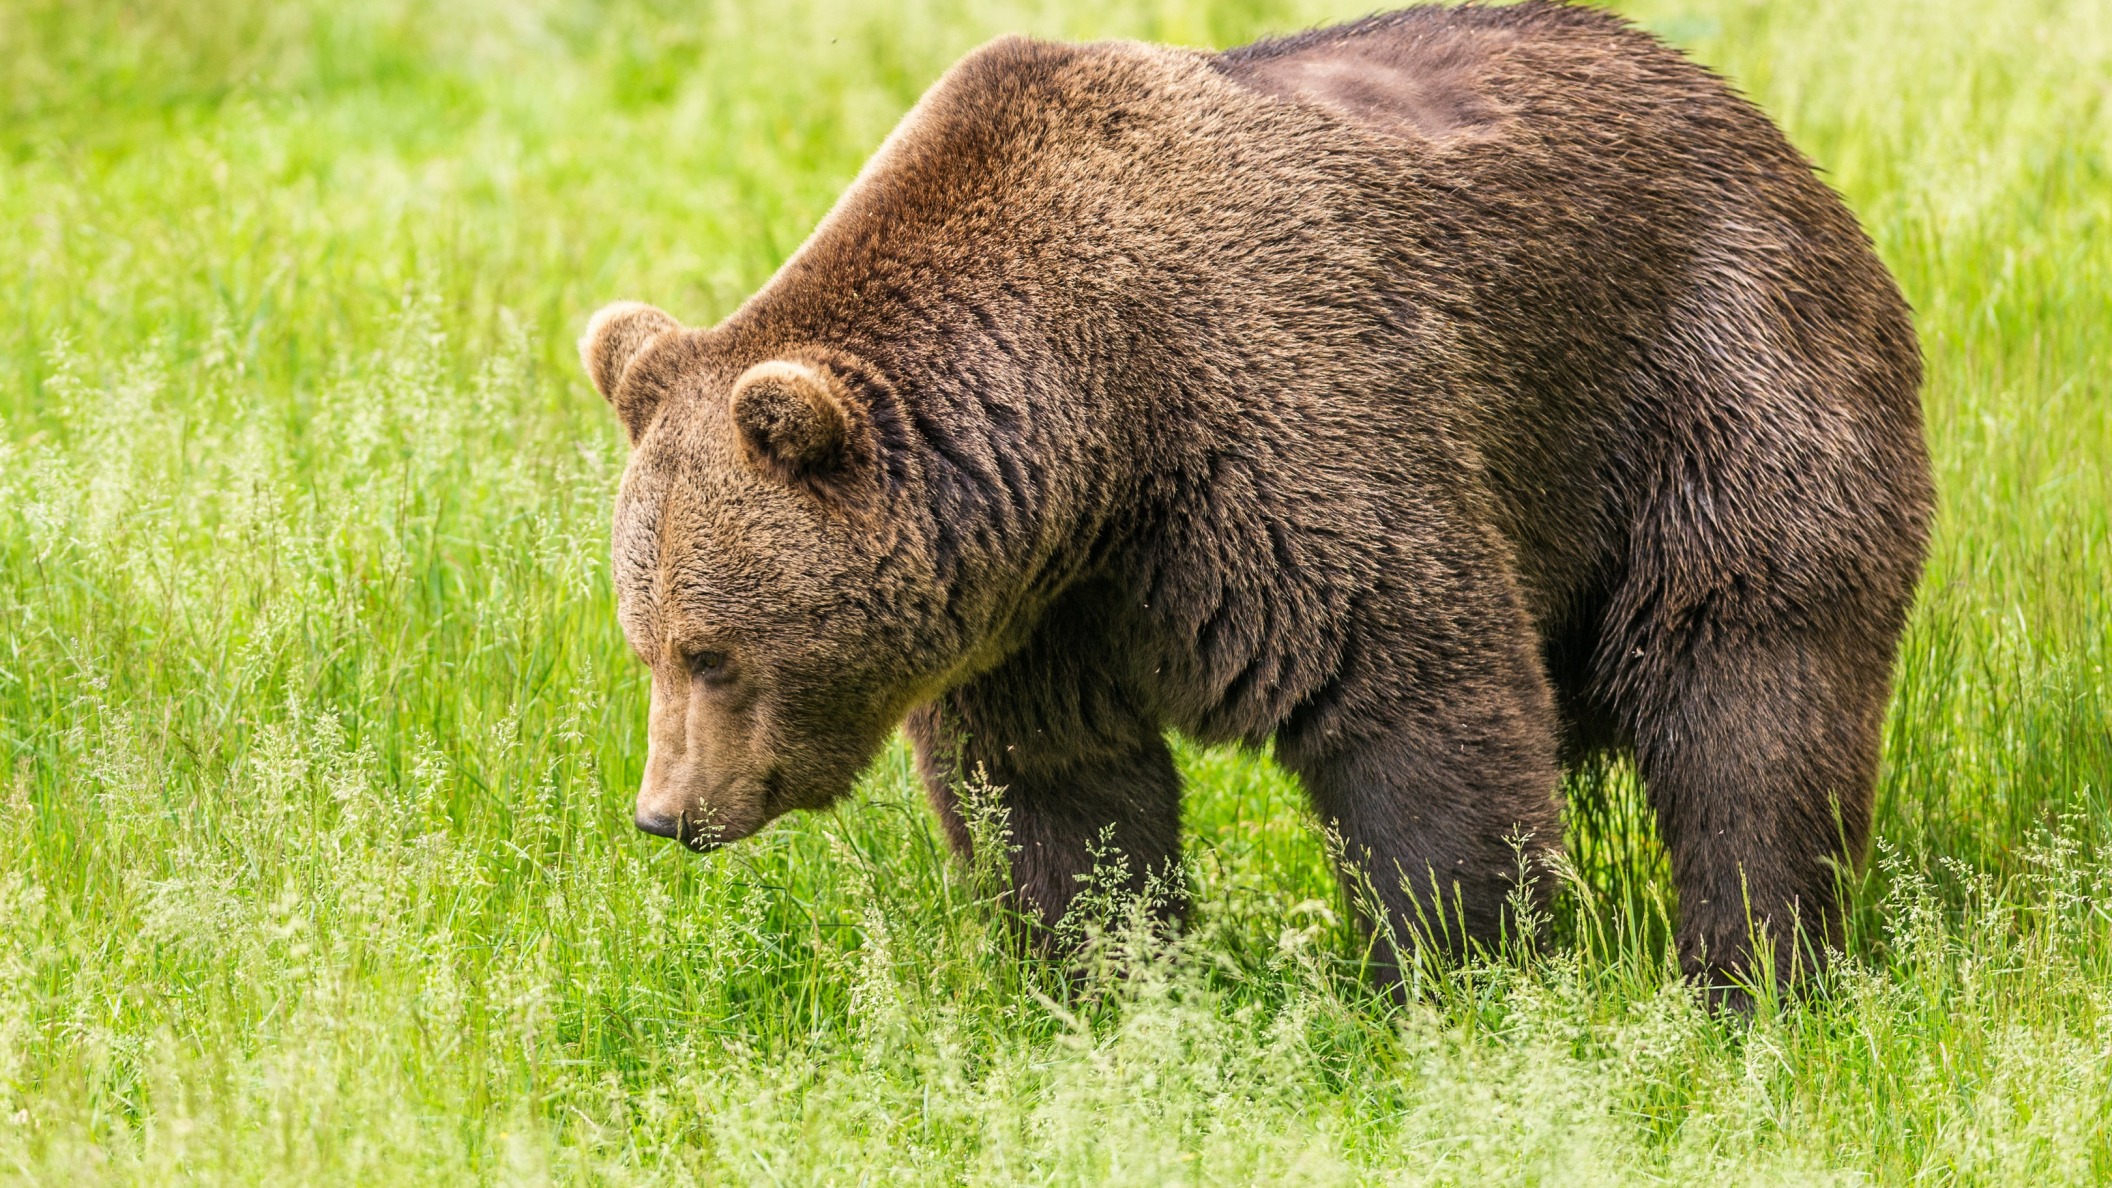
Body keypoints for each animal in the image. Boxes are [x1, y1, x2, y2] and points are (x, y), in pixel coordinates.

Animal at [574, 2, 1934, 997]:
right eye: (643, 643)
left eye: (711, 652)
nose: (666, 813)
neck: (1095, 425)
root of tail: (1760, 124)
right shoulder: (1037, 610)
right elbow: (1062, 798)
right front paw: (1104, 986)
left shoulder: (1280, 431)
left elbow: (1419, 702)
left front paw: (1448, 977)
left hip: (1710, 389)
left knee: (1750, 690)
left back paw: (1749, 971)